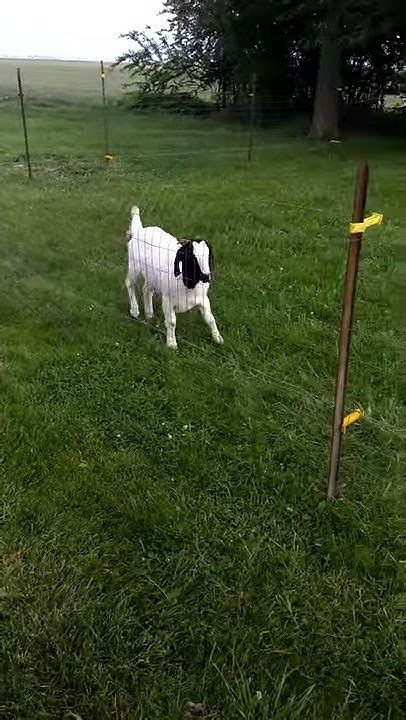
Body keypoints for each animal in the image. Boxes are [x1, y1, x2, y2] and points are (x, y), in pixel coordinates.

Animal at [125, 205, 224, 348]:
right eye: (191, 257)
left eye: (209, 256)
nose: (206, 277)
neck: (188, 284)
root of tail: (140, 230)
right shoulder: (168, 299)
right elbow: (171, 322)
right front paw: (171, 344)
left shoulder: (203, 299)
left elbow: (210, 319)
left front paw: (218, 338)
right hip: (134, 266)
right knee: (130, 284)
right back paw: (135, 311)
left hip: (152, 276)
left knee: (146, 289)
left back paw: (149, 314)